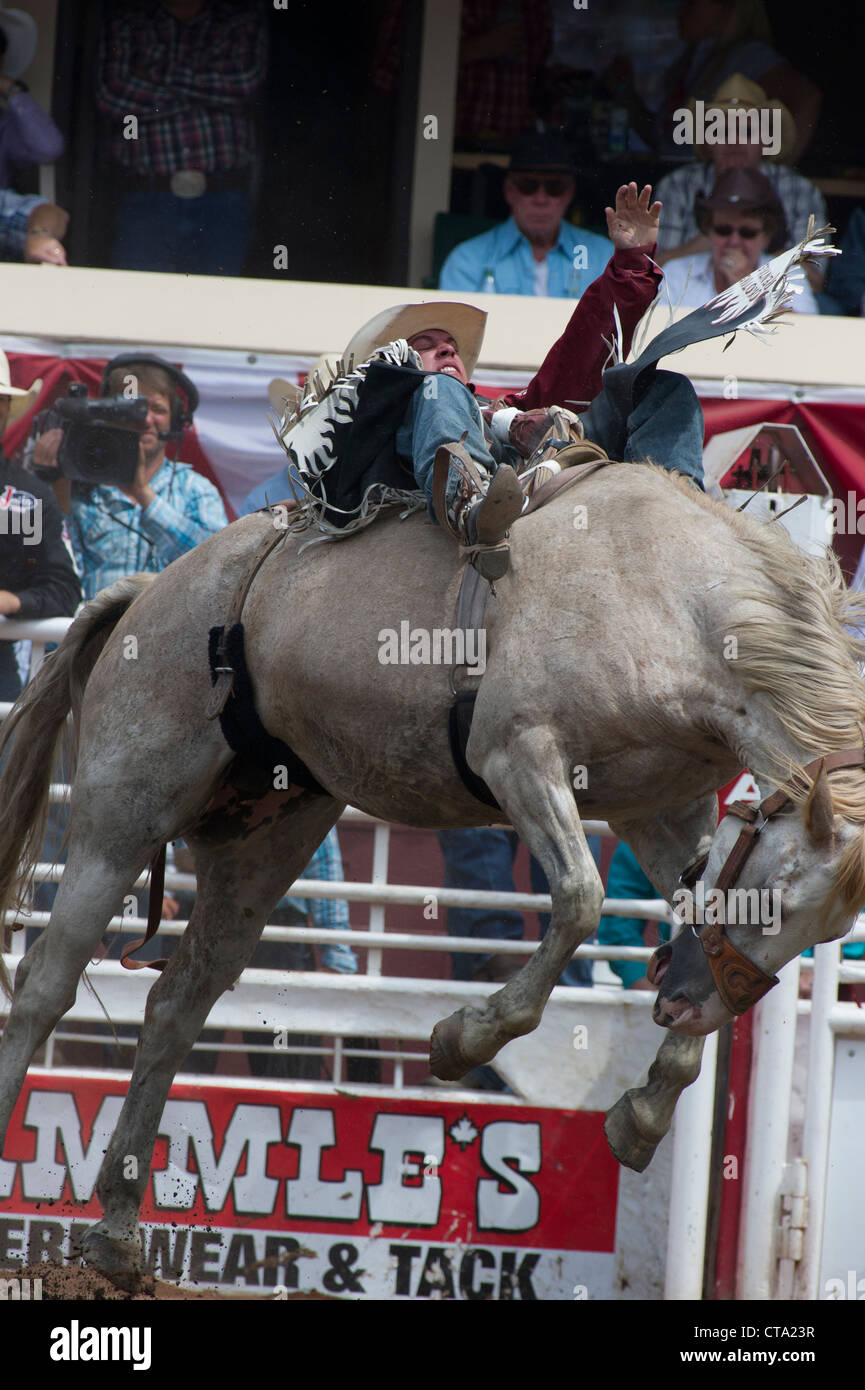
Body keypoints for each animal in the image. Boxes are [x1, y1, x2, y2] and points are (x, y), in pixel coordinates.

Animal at [1, 458, 865, 1289]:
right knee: (46, 982)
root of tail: (152, 591)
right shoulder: (518, 754)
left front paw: (646, 1108)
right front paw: (466, 1036)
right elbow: (579, 900)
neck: (672, 603)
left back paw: (117, 1230)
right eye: (776, 896)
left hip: (266, 836)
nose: (684, 1007)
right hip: (123, 810)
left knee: (178, 1003)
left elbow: (687, 921)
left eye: (827, 929)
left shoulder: (663, 810)